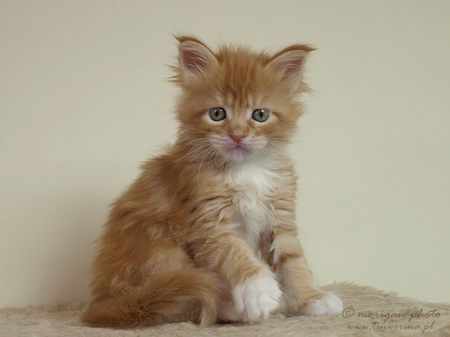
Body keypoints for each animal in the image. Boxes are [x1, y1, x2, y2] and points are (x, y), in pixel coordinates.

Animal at [81, 36, 342, 326]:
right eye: (217, 114)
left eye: (260, 115)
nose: (238, 135)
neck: (245, 169)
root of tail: (103, 303)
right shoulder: (205, 220)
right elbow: (234, 252)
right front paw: (258, 289)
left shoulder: (279, 217)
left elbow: (293, 261)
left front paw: (311, 299)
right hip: (159, 244)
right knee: (187, 298)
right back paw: (233, 308)